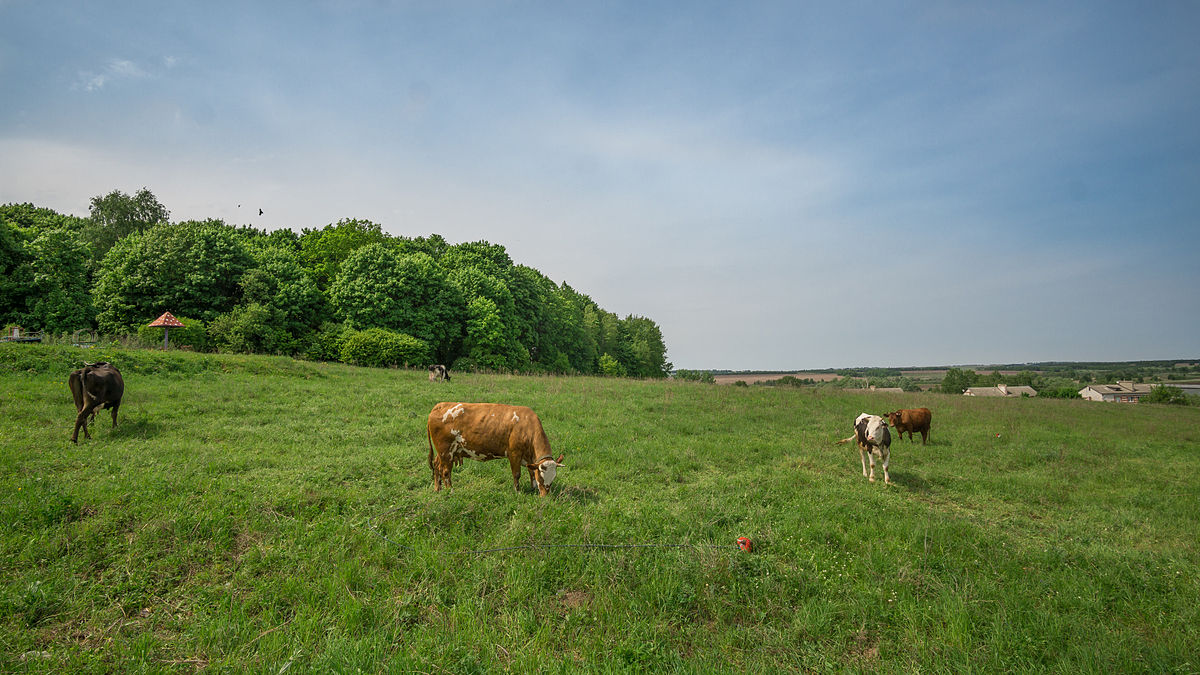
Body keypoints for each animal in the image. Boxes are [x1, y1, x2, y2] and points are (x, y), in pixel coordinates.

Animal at [427, 398, 566, 494]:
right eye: (542, 478)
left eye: (553, 479)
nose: (544, 496)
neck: (527, 425)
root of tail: (440, 405)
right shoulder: (514, 454)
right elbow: (517, 474)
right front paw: (518, 492)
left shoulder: (529, 459)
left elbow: (531, 472)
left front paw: (533, 488)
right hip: (446, 451)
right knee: (445, 471)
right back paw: (450, 491)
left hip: (443, 452)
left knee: (437, 465)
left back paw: (438, 489)